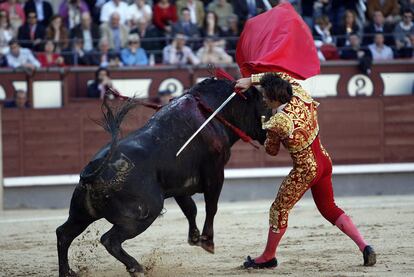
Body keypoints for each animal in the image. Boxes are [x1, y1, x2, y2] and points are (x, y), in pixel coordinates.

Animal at [55, 78, 268, 276]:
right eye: (264, 104)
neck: (211, 111)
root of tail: (93, 170)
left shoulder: (179, 185)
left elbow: (190, 209)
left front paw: (195, 238)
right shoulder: (215, 172)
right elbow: (211, 207)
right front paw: (207, 241)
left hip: (81, 214)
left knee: (63, 234)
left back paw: (67, 272)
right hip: (143, 214)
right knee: (109, 240)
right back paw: (136, 267)